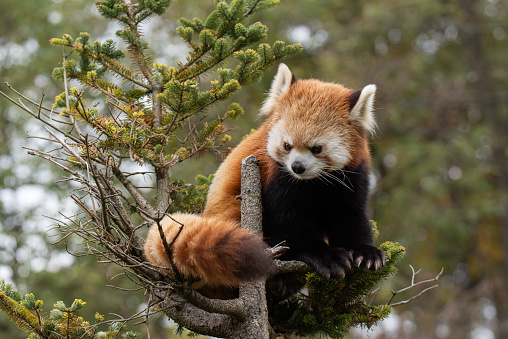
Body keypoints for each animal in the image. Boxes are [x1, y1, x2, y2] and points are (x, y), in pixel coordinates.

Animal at [143, 63, 384, 294]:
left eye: (317, 149)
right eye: (287, 146)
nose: (297, 167)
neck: (314, 183)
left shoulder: (352, 177)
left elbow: (350, 216)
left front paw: (366, 253)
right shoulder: (276, 176)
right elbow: (287, 222)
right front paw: (325, 256)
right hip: (230, 214)